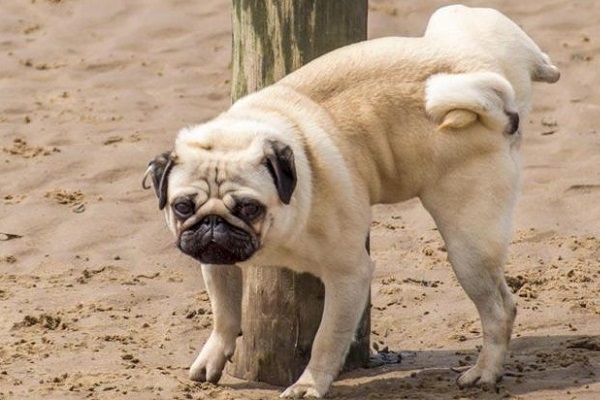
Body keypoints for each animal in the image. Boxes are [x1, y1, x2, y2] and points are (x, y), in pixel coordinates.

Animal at [144, 5, 556, 396]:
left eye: (249, 208)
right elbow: (225, 314)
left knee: (499, 310)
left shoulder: (349, 276)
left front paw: (309, 385)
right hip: (454, 20)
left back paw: (485, 372)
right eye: (183, 207)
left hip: (468, 248)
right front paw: (214, 356)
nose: (213, 224)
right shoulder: (217, 262)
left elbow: (327, 339)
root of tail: (489, 85)